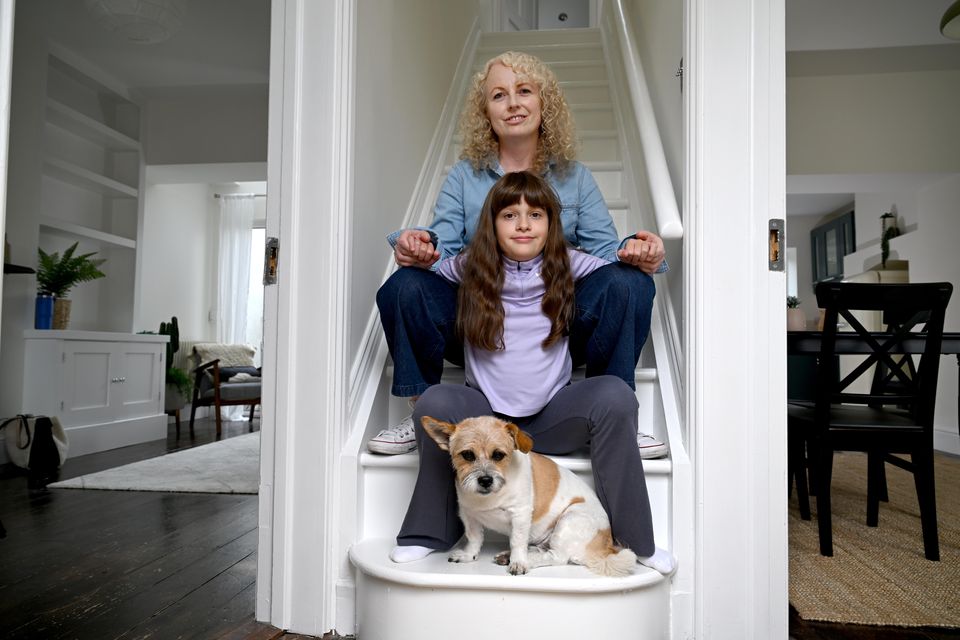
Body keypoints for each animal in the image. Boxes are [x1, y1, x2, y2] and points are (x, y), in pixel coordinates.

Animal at [422, 412, 636, 576]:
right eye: (467, 455)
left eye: (498, 455)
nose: (485, 480)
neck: (490, 497)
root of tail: (607, 547)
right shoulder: (469, 515)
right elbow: (474, 539)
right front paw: (469, 555)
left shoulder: (520, 514)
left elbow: (517, 541)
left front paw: (518, 562)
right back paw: (509, 556)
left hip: (570, 519)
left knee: (556, 557)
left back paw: (524, 559)